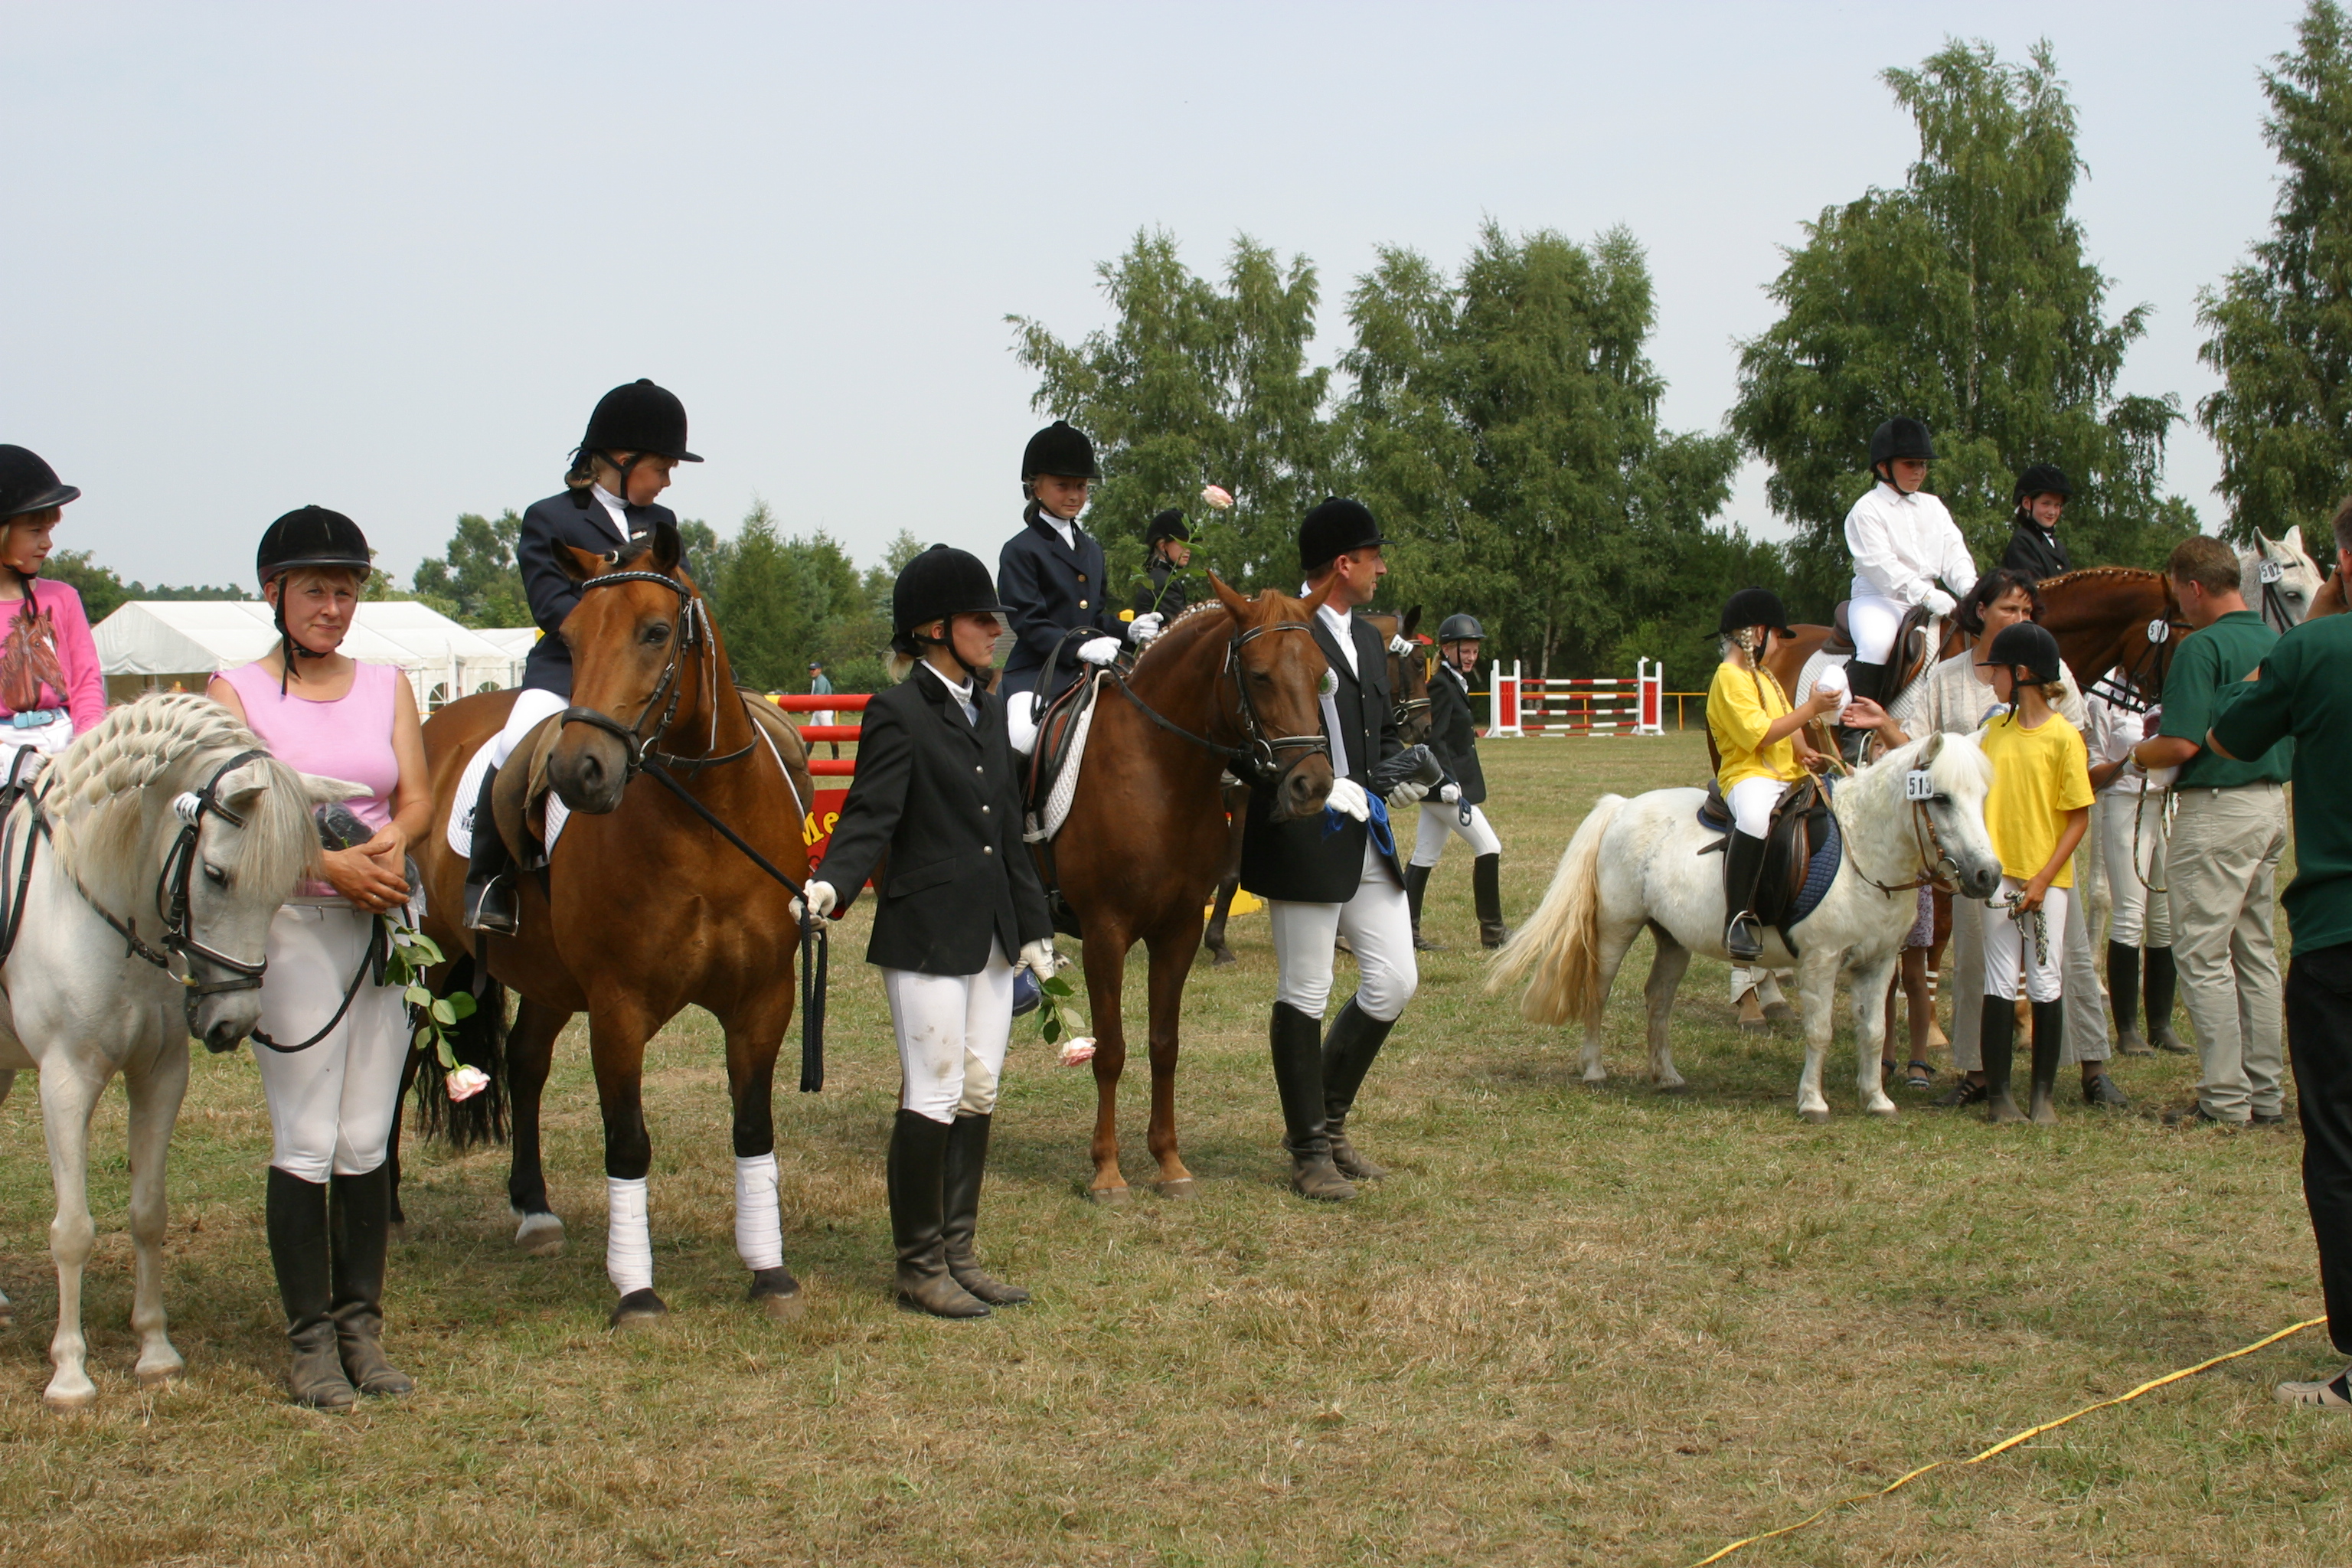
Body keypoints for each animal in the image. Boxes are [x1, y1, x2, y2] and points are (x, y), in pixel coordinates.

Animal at [0, 700, 348, 1410]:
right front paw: (70, 1374)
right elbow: (73, 1229)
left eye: (284, 888)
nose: (233, 1024)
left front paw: (155, 1352)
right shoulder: (63, 1080)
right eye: (215, 874)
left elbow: (148, 1212)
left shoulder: (160, 1076)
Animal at [400, 524, 813, 1325]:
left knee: (525, 1064)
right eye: (569, 636)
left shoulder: (763, 1001)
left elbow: (753, 1129)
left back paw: (533, 1211)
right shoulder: (619, 1008)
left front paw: (770, 1273)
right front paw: (637, 1292)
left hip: (549, 981)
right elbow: (627, 1143)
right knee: (395, 1068)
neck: (703, 826)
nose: (577, 773)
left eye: (655, 632)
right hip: (428, 966)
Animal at [1049, 576, 1345, 1204]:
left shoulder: (1179, 928)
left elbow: (1165, 1044)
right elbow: (1110, 1050)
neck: (1159, 773)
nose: (1312, 786)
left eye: (1320, 672)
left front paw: (1169, 1162)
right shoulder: (1105, 932)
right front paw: (1107, 1172)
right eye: (1258, 674)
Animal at [1486, 733, 2004, 1114]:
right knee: (1599, 989)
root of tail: (1623, 805)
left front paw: (1877, 1100)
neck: (1864, 853)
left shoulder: (1877, 963)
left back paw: (1666, 1076)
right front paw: (1813, 1103)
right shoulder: (1821, 961)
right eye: (1940, 799)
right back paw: (1593, 1068)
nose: (1988, 875)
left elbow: (1874, 1031)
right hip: (1618, 927)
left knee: (1659, 1000)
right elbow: (1820, 1030)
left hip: (1672, 939)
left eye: (1983, 795)